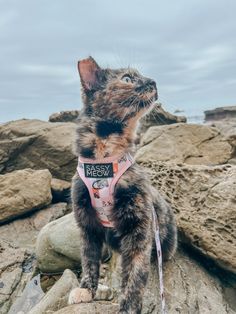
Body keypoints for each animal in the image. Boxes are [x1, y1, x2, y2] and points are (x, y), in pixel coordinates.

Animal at [68, 57, 177, 314]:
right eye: (127, 79)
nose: (153, 81)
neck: (104, 161)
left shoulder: (140, 227)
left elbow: (135, 275)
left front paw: (128, 306)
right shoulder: (86, 223)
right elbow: (89, 260)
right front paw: (86, 289)